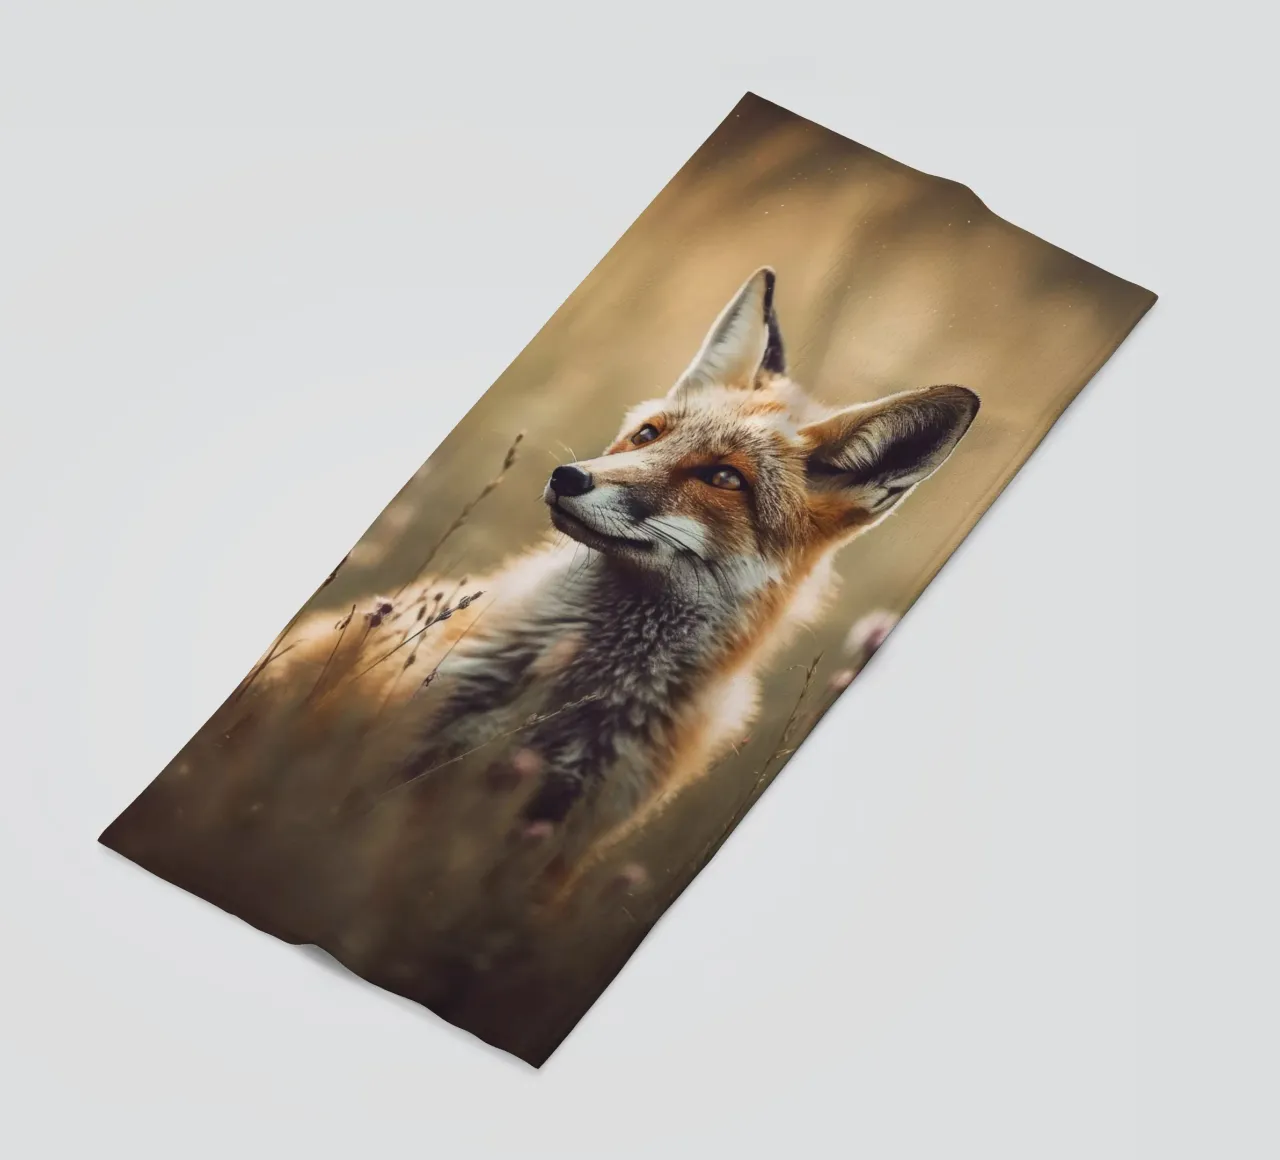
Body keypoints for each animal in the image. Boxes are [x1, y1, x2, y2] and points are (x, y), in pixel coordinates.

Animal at [272, 267, 979, 874]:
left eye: (725, 479)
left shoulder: (557, 845)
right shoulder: (396, 747)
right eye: (648, 435)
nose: (567, 477)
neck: (574, 699)